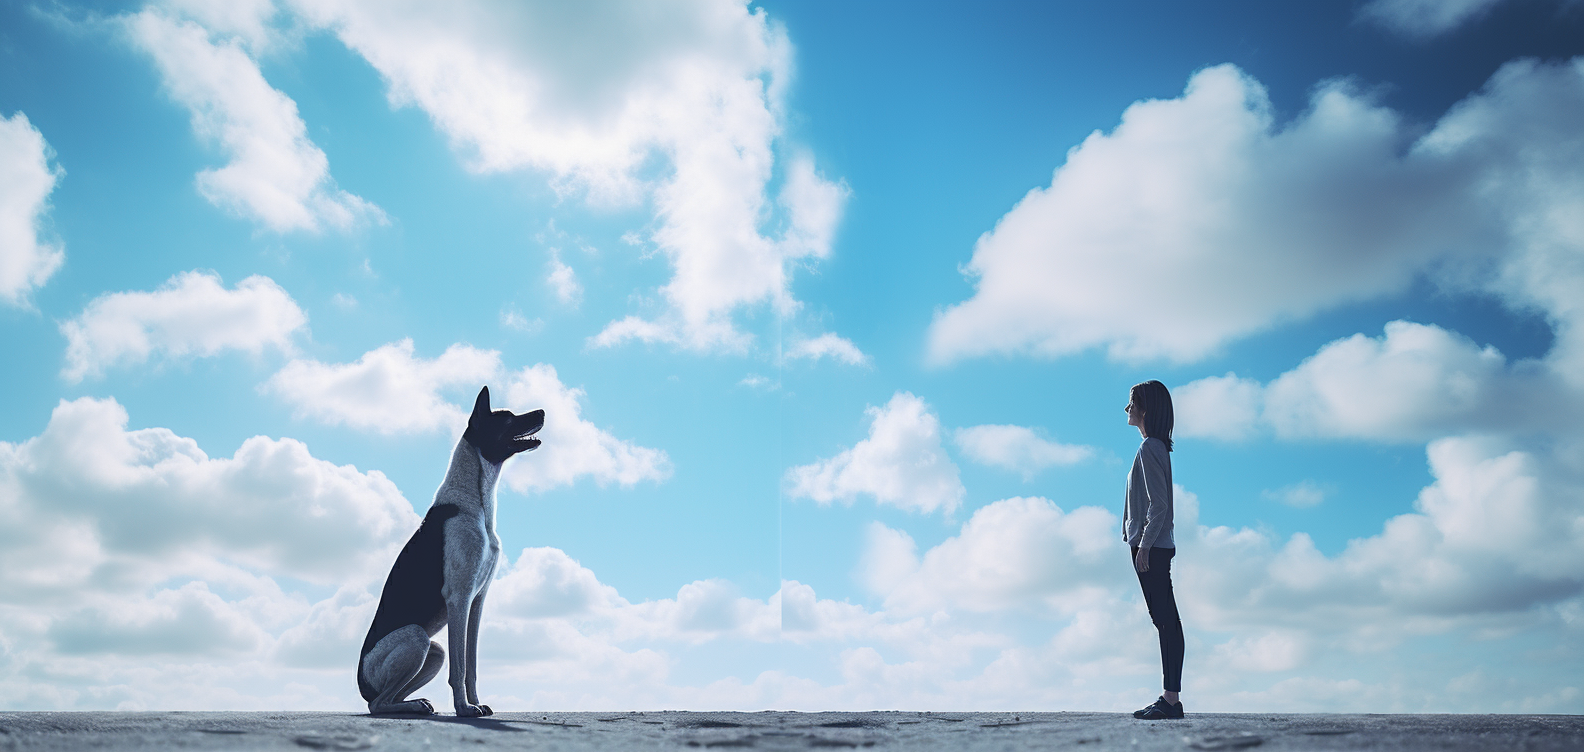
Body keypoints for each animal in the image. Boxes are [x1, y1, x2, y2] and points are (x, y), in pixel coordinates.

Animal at [356, 387, 541, 718]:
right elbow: (460, 668)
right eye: (508, 419)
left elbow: (472, 665)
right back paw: (412, 706)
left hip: (434, 650)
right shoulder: (459, 598)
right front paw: (464, 708)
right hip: (416, 637)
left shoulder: (477, 602)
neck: (475, 500)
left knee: (391, 697)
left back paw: (416, 704)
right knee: (377, 704)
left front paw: (475, 702)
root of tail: (361, 682)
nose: (543, 412)